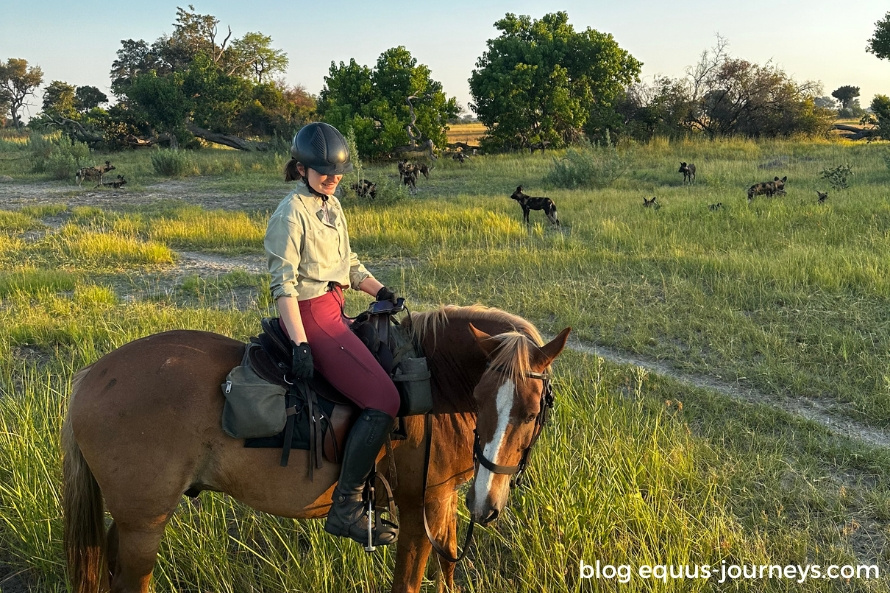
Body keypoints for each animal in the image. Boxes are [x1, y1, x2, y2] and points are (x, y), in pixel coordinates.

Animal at [62, 306, 568, 592]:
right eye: (482, 398)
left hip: (134, 519)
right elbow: (408, 580)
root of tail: (91, 377)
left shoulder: (441, 504)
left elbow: (445, 569)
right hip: (144, 525)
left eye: (530, 411)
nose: (486, 505)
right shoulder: (418, 506)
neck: (434, 382)